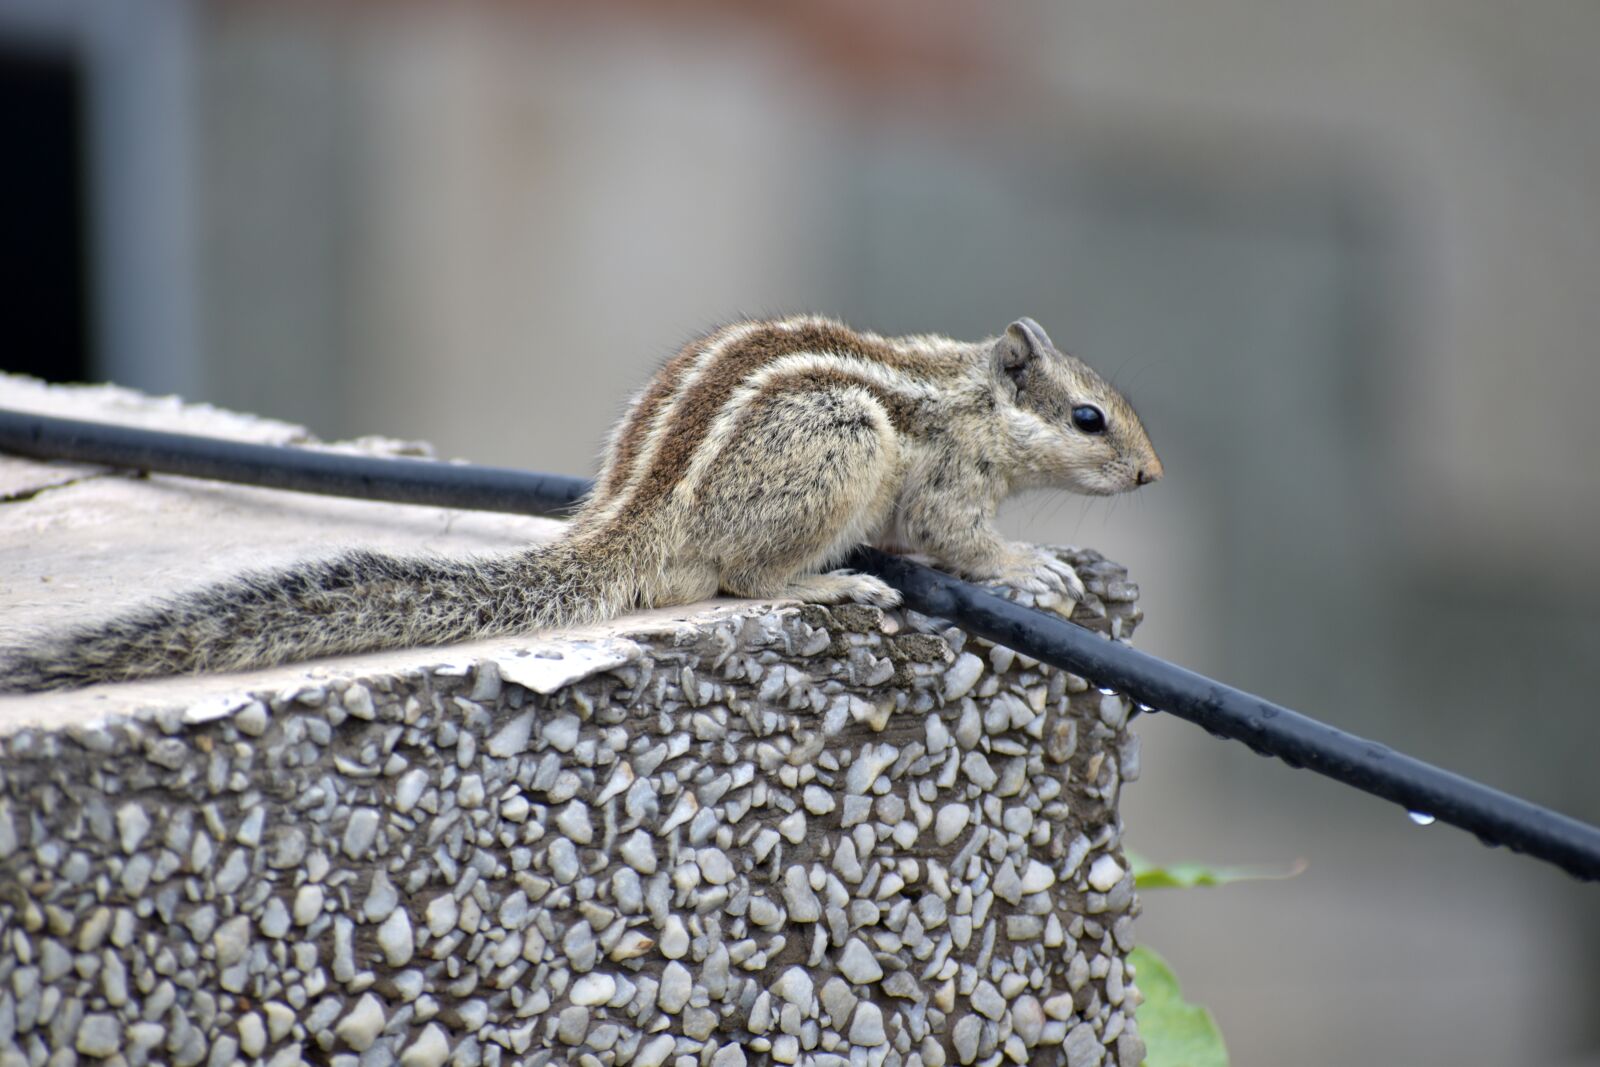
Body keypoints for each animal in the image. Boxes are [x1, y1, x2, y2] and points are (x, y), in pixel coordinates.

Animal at [0, 315, 1161, 691]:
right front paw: (1030, 566)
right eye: (1090, 418)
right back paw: (836, 585)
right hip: (841, 439)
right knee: (744, 575)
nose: (1153, 477)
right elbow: (956, 537)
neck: (971, 394)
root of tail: (627, 519)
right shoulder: (943, 479)